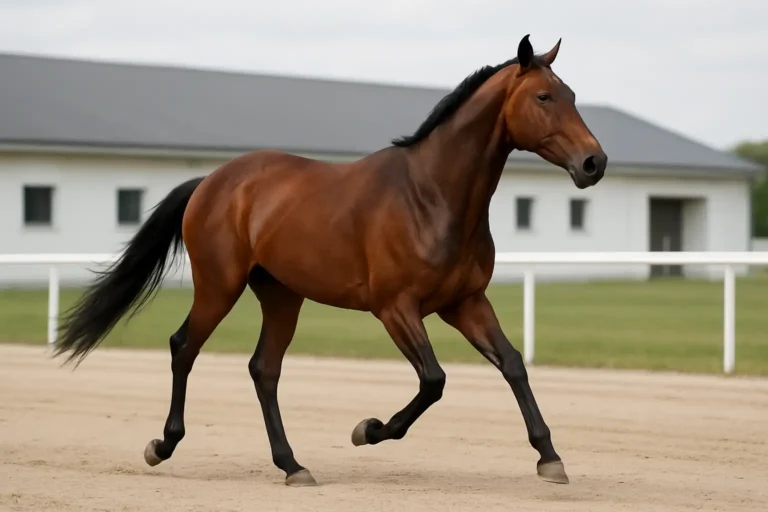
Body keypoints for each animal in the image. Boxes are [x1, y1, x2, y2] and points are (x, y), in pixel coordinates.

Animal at [52, 34, 607, 487]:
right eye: (543, 97)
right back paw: (163, 445)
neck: (431, 195)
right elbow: (434, 380)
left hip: (281, 296)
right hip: (219, 286)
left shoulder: (465, 302)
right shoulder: (396, 309)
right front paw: (369, 429)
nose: (594, 163)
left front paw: (550, 458)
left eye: (573, 96)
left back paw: (292, 465)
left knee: (264, 369)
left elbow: (513, 364)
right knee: (184, 347)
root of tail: (211, 181)